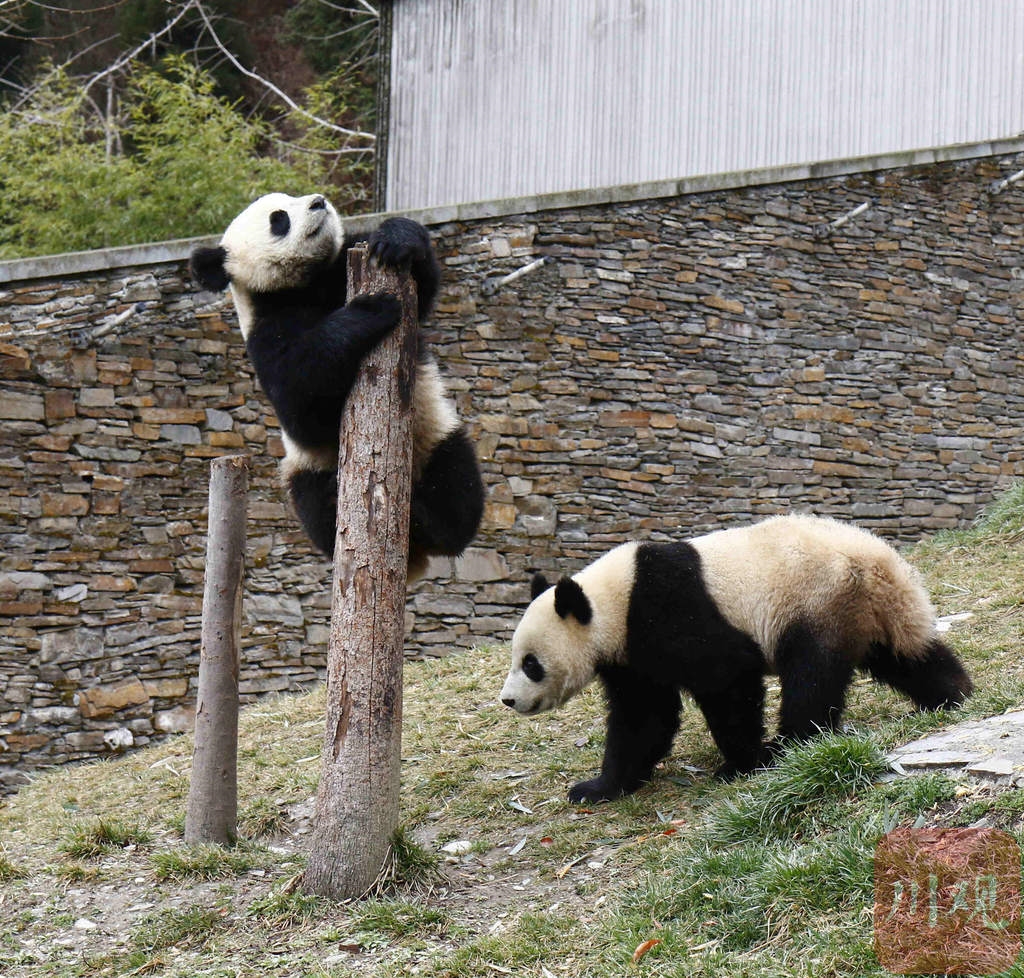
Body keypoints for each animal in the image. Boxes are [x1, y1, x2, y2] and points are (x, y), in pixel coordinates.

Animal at [499, 512, 970, 802]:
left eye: (530, 663)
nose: (508, 700)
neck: (611, 601)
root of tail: (880, 563)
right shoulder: (631, 654)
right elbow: (644, 715)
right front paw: (597, 788)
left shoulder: (671, 610)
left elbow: (727, 680)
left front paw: (741, 763)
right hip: (866, 612)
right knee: (907, 657)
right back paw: (951, 695)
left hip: (817, 600)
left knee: (811, 678)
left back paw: (791, 744)